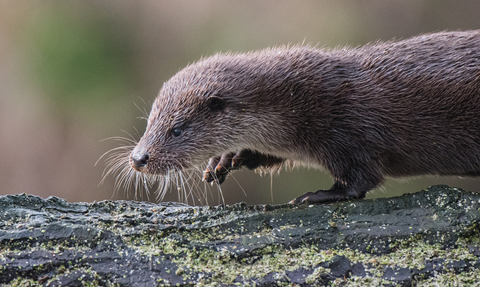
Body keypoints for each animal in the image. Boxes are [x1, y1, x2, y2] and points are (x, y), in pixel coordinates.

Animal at [126, 31, 480, 205]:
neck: (305, 101)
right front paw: (226, 159)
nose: (138, 158)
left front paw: (318, 195)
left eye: (177, 130)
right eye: (149, 121)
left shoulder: (350, 131)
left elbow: (362, 182)